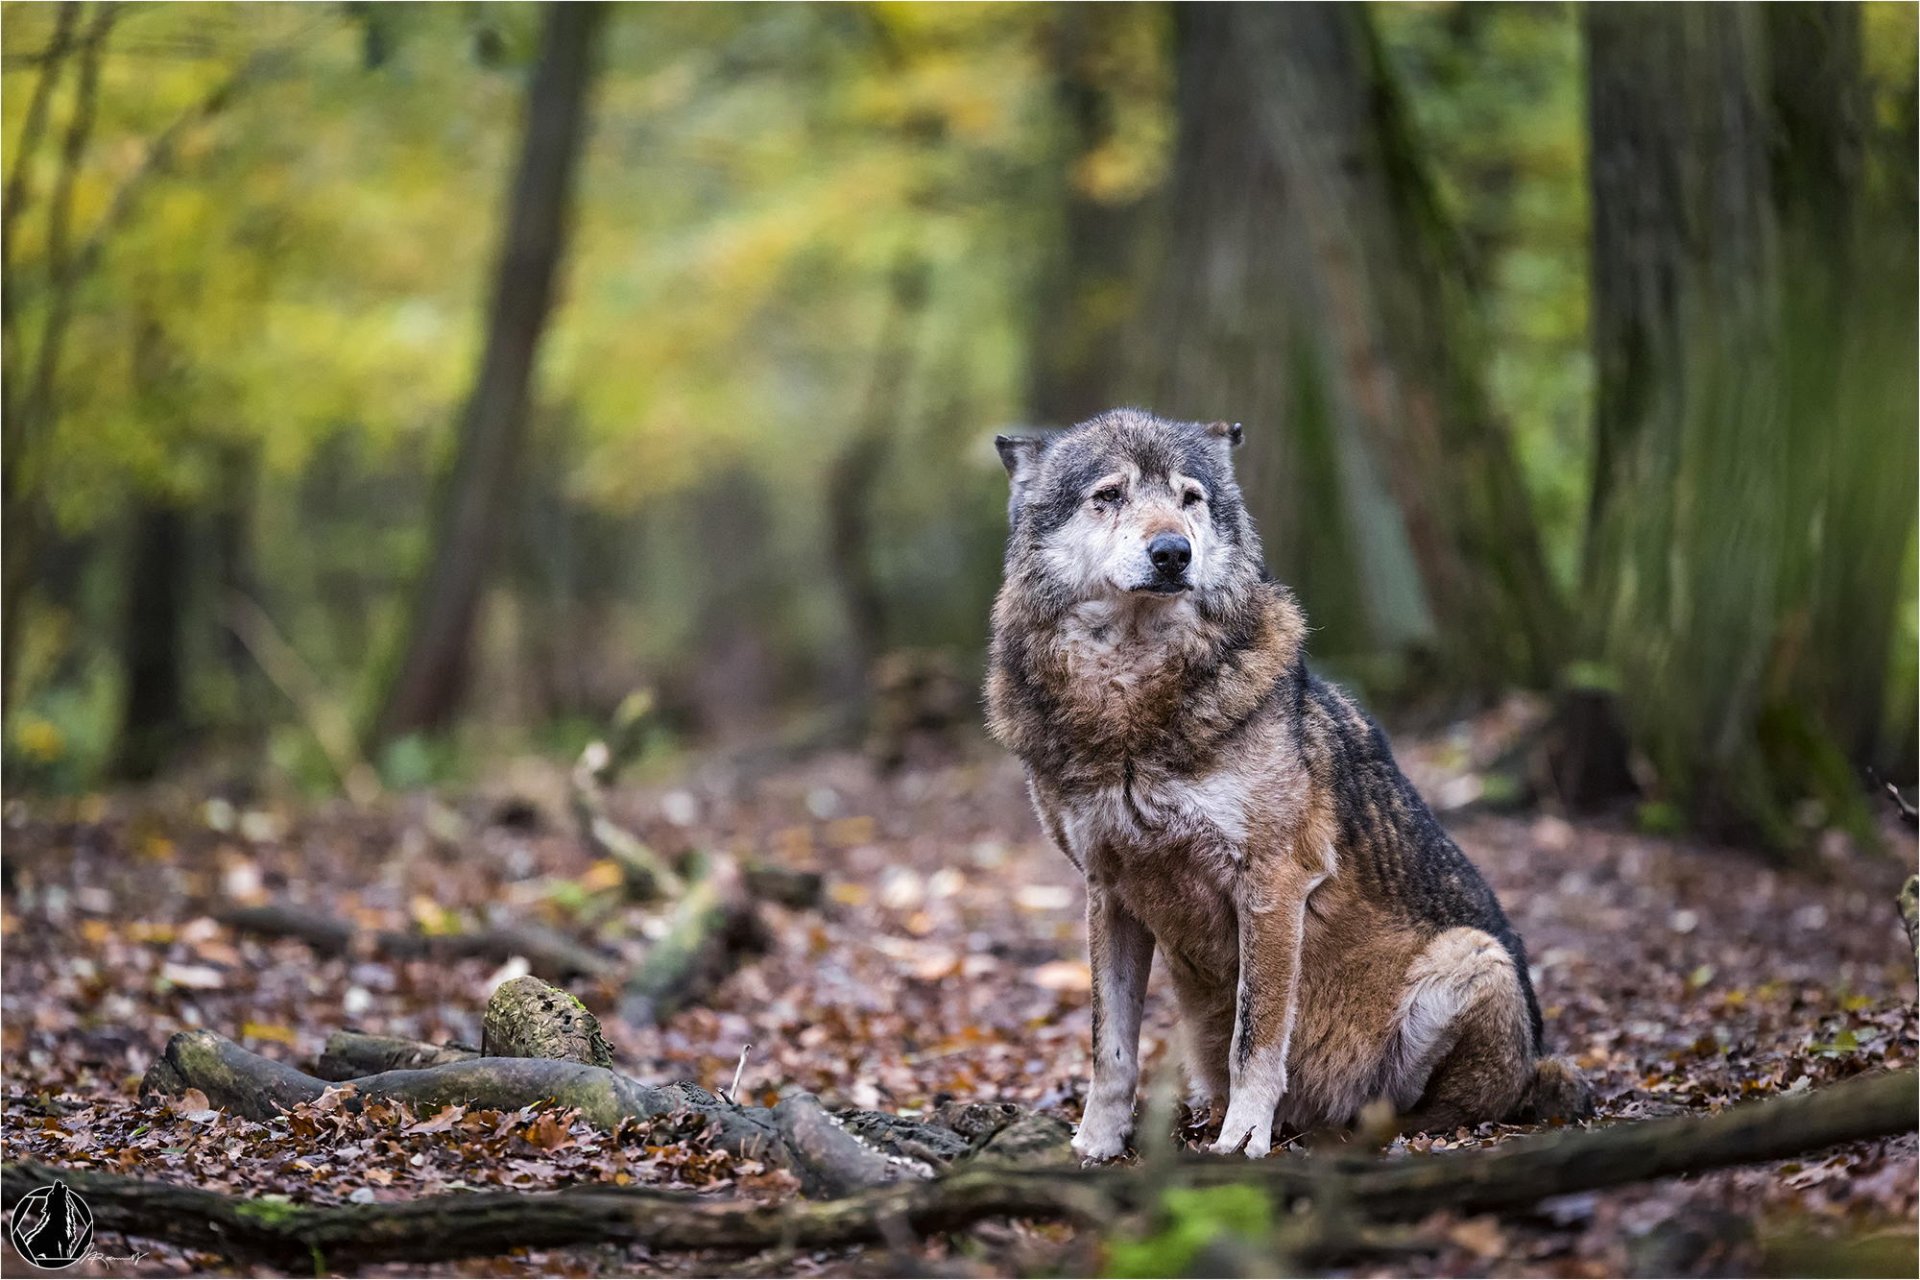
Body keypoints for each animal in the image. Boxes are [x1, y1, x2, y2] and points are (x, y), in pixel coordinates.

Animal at [986, 408, 1588, 1160]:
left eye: (1190, 498)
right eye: (1109, 495)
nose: (1172, 553)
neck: (1131, 704)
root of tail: (1536, 1062)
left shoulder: (1272, 882)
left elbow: (1257, 1035)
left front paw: (1244, 1137)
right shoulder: (1108, 891)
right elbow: (1110, 1046)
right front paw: (1097, 1142)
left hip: (1474, 959)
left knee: (1433, 1107)